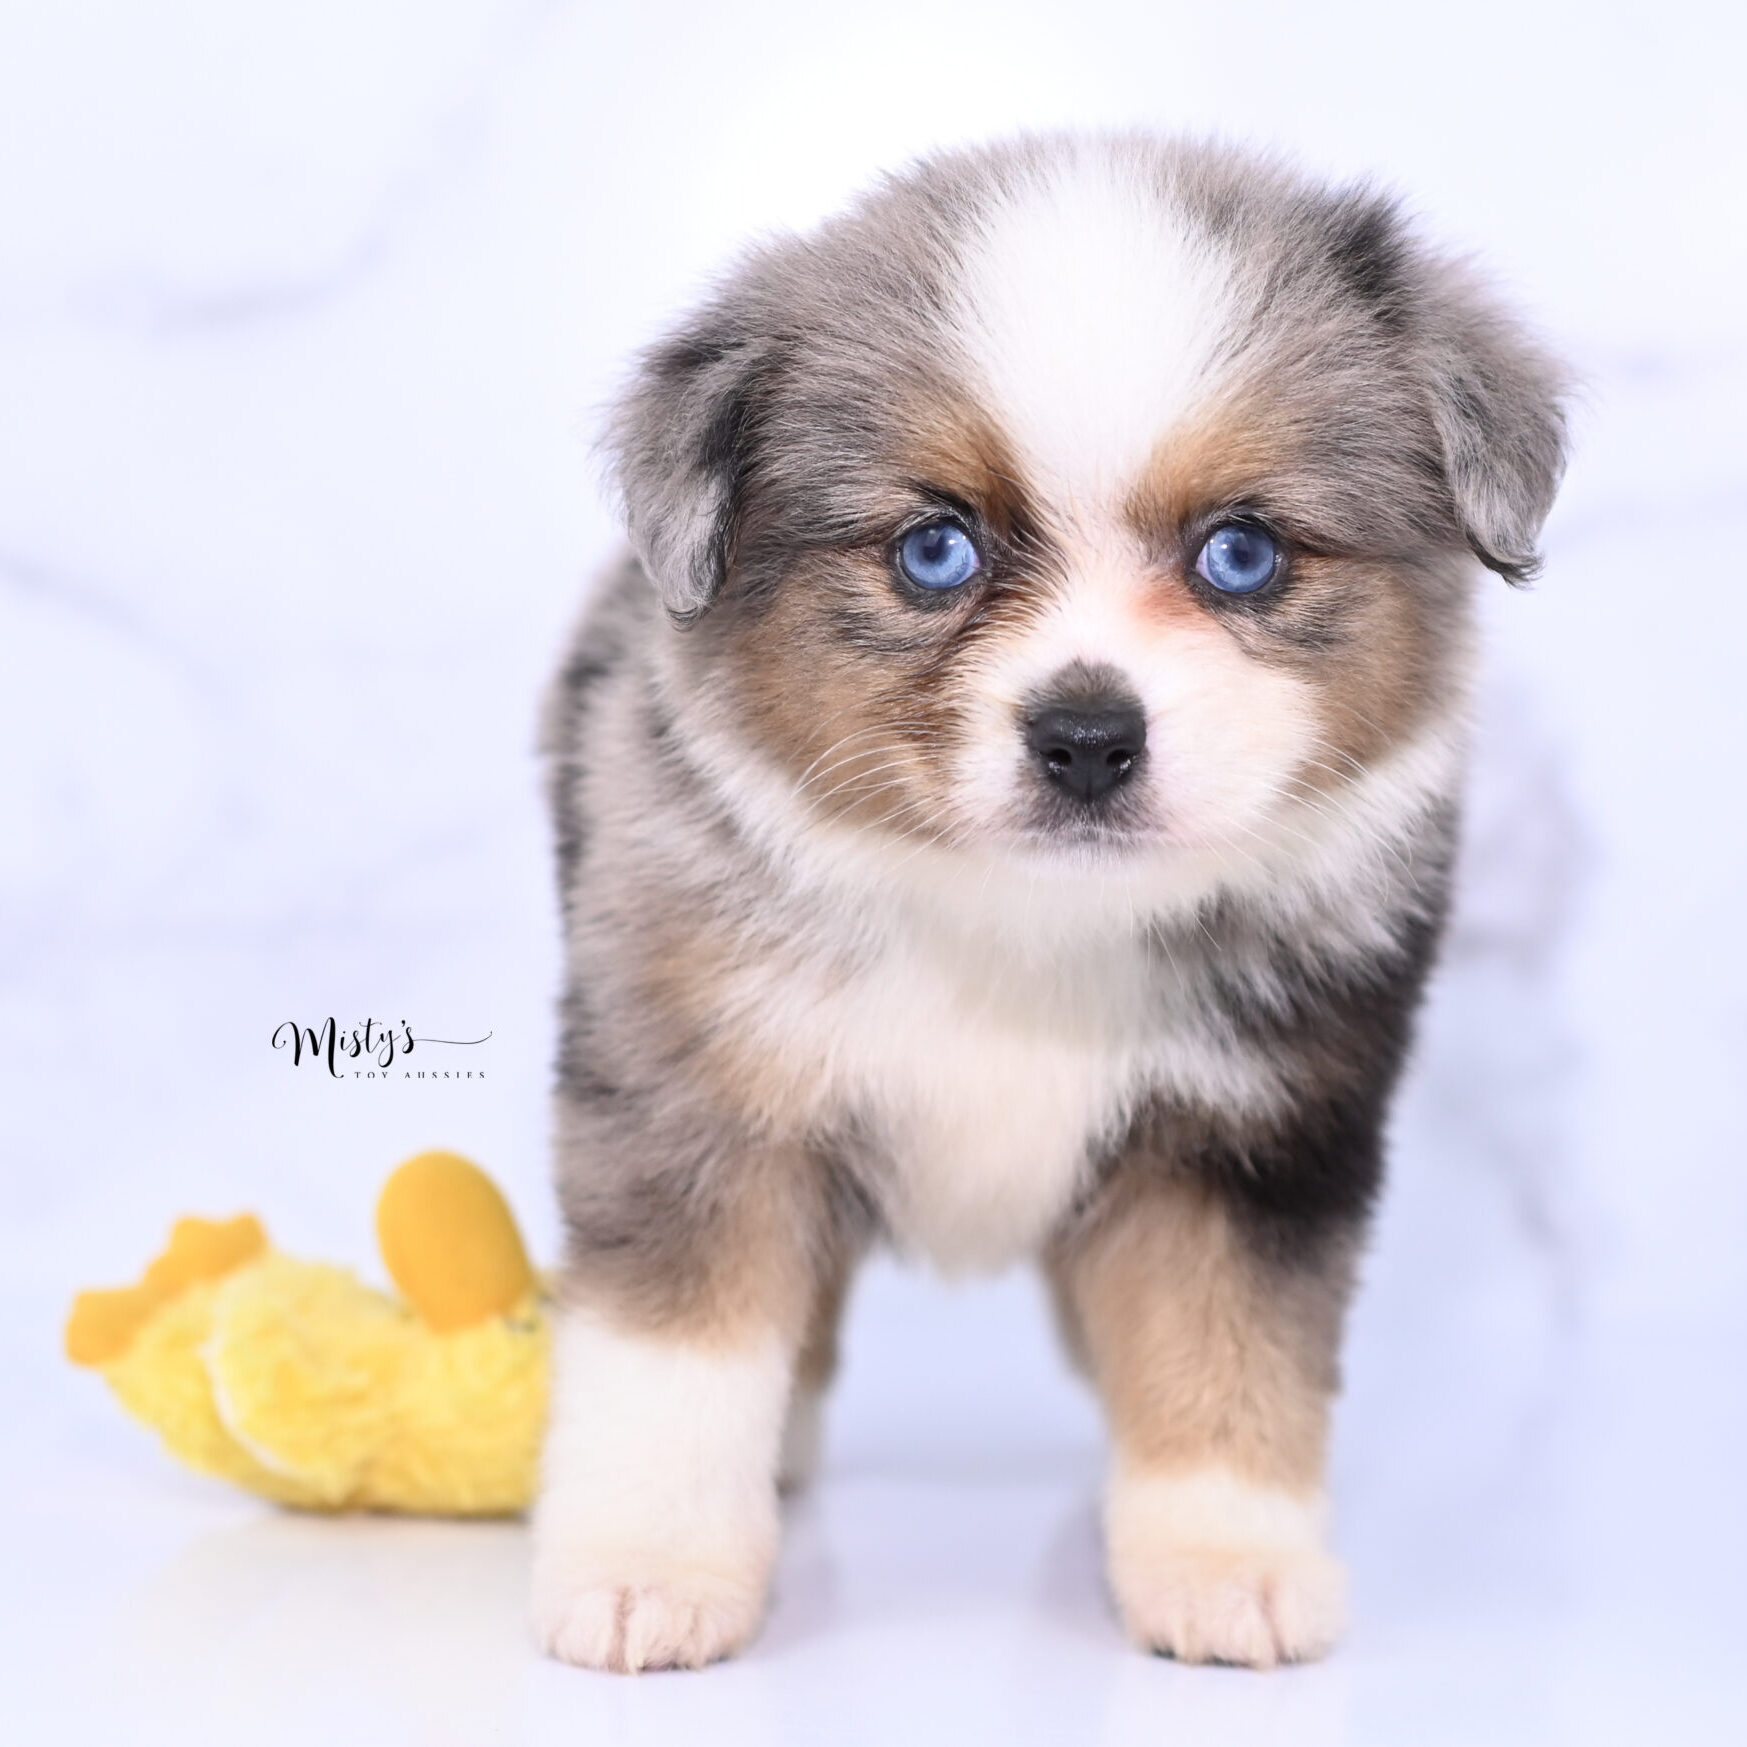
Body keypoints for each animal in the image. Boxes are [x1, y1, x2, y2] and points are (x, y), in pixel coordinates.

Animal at [527, 132, 1572, 1663]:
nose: (1085, 739)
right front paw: (643, 1564)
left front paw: (1224, 1559)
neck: (1019, 920)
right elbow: (680, 1350)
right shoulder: (696, 1084)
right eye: (934, 550)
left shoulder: (1248, 1134)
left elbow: (1222, 1342)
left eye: (1242, 552)